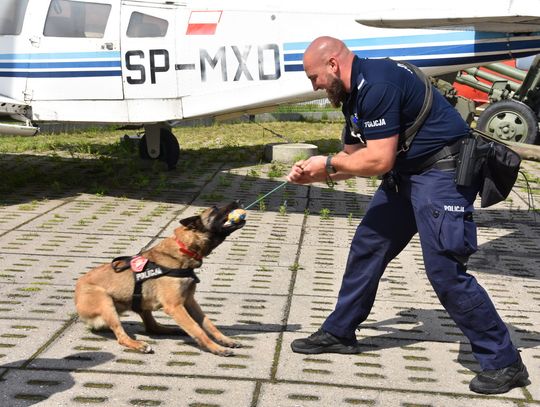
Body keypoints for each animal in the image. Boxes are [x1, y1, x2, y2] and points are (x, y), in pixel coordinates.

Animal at [73, 202, 245, 356]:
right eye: (215, 209)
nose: (237, 201)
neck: (183, 249)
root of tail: (77, 289)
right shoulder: (175, 306)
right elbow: (197, 328)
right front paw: (216, 348)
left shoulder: (189, 301)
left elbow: (208, 324)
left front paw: (224, 340)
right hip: (106, 303)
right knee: (122, 336)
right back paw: (138, 344)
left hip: (141, 302)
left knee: (152, 327)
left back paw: (172, 330)